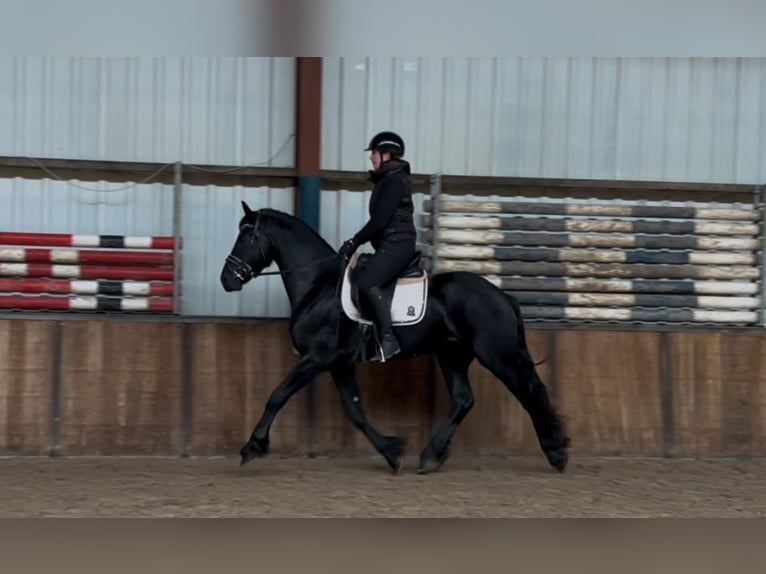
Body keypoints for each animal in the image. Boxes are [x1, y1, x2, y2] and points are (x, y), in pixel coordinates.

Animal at [220, 202, 568, 476]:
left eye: (246, 237)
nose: (226, 280)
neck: (319, 286)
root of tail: (501, 296)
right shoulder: (339, 364)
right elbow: (355, 411)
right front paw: (392, 451)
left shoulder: (316, 358)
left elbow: (277, 396)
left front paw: (252, 447)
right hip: (452, 355)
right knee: (464, 399)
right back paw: (430, 456)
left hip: (496, 353)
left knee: (529, 391)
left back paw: (557, 452)